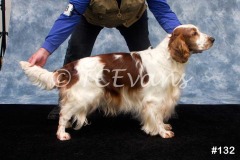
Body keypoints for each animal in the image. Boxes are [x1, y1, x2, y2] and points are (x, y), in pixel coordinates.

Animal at [20, 24, 215, 141]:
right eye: (194, 33)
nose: (212, 39)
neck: (168, 58)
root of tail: (71, 66)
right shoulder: (154, 99)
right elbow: (158, 117)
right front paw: (163, 132)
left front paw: (155, 128)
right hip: (82, 96)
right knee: (63, 114)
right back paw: (62, 134)